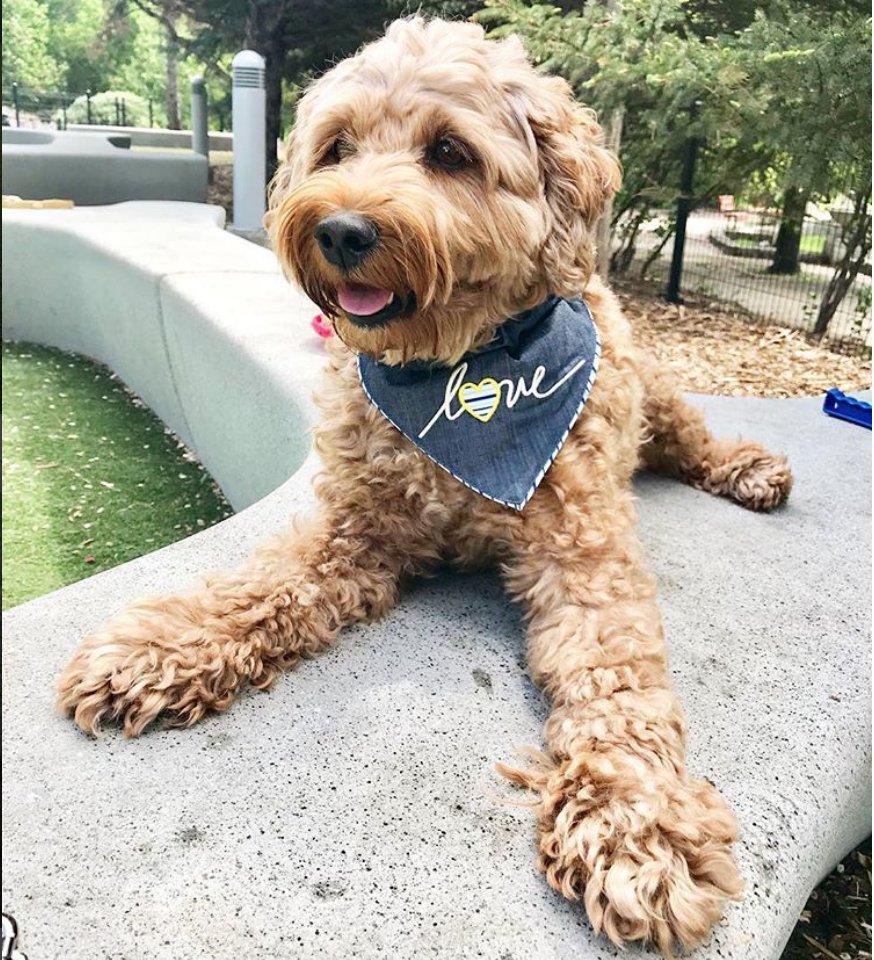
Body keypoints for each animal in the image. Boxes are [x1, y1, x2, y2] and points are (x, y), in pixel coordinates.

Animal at [54, 18, 792, 956]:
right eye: (337, 147)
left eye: (449, 152)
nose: (339, 231)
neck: (457, 372)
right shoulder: (357, 532)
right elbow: (260, 586)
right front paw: (159, 647)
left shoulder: (584, 560)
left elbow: (619, 690)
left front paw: (638, 823)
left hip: (657, 397)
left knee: (693, 441)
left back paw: (749, 468)